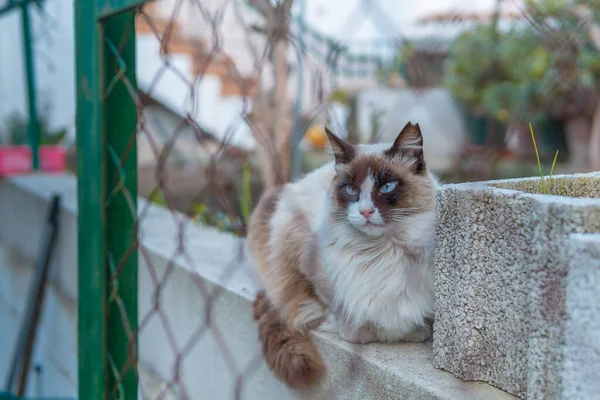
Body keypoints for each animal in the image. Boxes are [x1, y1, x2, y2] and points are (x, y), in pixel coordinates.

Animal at [246, 121, 438, 388]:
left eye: (387, 187)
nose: (366, 212)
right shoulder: (312, 266)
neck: (382, 253)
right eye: (350, 190)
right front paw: (366, 331)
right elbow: (341, 314)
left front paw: (413, 332)